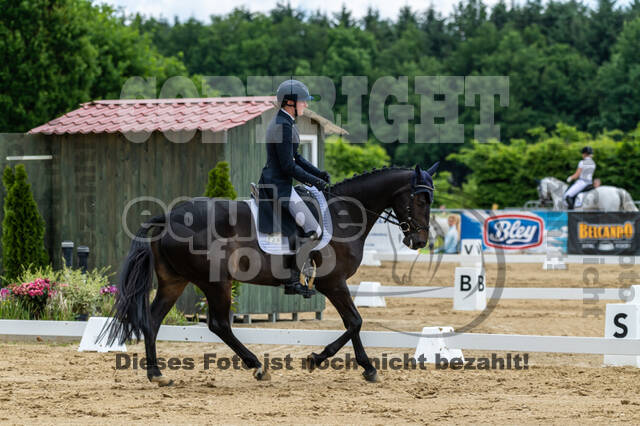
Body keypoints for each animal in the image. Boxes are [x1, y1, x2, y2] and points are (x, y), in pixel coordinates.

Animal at [105, 164, 437, 386]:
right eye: (421, 200)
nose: (419, 241)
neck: (345, 214)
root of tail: (168, 217)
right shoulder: (333, 283)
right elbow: (355, 321)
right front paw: (328, 361)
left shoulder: (334, 284)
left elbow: (352, 322)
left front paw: (360, 366)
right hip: (216, 282)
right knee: (219, 324)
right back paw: (257, 366)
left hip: (174, 281)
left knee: (152, 320)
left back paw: (156, 373)